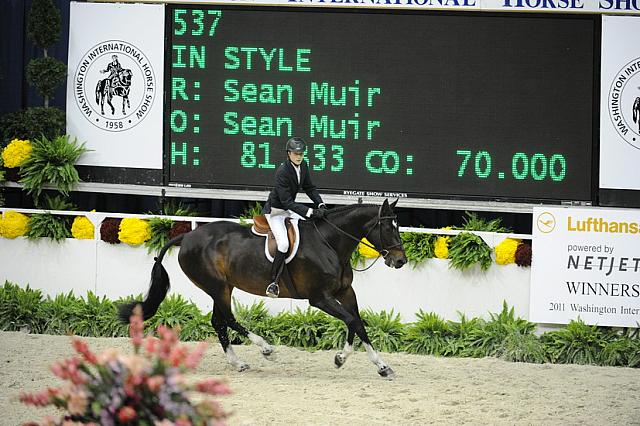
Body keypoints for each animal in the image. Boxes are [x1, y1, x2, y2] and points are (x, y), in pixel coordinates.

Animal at [119, 199, 408, 376]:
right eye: (387, 227)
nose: (400, 261)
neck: (330, 243)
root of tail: (186, 236)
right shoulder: (320, 298)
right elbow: (353, 322)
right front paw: (351, 360)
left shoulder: (345, 293)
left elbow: (356, 323)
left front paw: (374, 365)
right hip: (218, 287)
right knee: (227, 319)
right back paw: (266, 349)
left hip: (223, 287)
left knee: (218, 321)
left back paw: (238, 363)